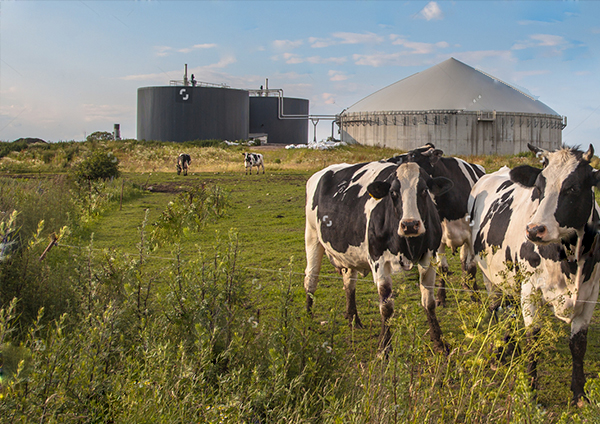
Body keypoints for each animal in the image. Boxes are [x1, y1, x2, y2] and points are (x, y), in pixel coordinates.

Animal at [308, 159, 452, 352]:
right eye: (393, 192)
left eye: (423, 190)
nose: (410, 225)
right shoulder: (379, 262)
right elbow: (386, 306)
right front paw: (384, 347)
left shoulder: (428, 258)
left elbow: (429, 302)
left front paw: (439, 342)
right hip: (312, 237)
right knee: (310, 279)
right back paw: (307, 320)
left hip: (349, 256)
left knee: (349, 284)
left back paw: (353, 319)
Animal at [390, 144, 488, 306]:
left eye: (412, 155)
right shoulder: (439, 239)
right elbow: (442, 268)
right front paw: (441, 297)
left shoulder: (471, 237)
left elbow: (472, 267)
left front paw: (475, 296)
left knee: (464, 261)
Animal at [468, 144, 600, 402]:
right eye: (539, 188)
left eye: (573, 188)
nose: (534, 230)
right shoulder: (530, 291)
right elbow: (533, 339)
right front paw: (530, 391)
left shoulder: (591, 295)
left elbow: (579, 344)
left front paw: (579, 394)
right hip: (490, 277)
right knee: (498, 309)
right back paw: (500, 352)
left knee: (508, 312)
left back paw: (509, 347)